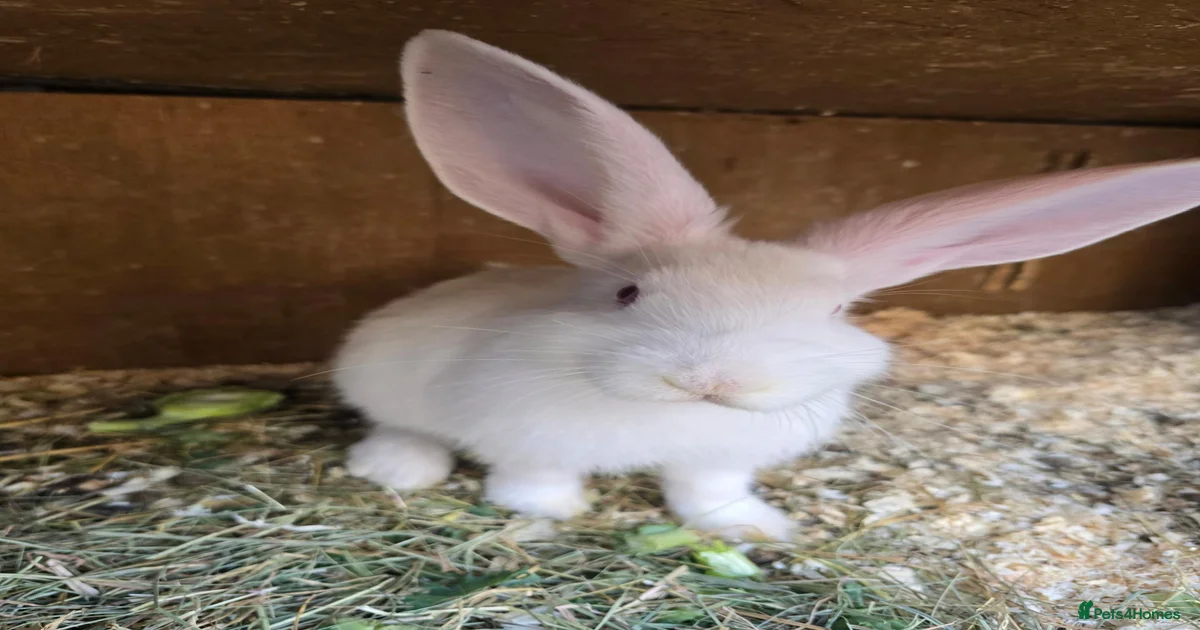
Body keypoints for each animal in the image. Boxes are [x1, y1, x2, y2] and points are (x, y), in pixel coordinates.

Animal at [332, 29, 1200, 541]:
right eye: (627, 295)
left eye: (834, 311)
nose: (713, 381)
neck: (675, 421)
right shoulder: (527, 441)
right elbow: (533, 481)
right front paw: (551, 516)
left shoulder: (718, 458)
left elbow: (707, 493)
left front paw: (757, 529)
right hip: (383, 380)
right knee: (400, 426)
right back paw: (396, 469)